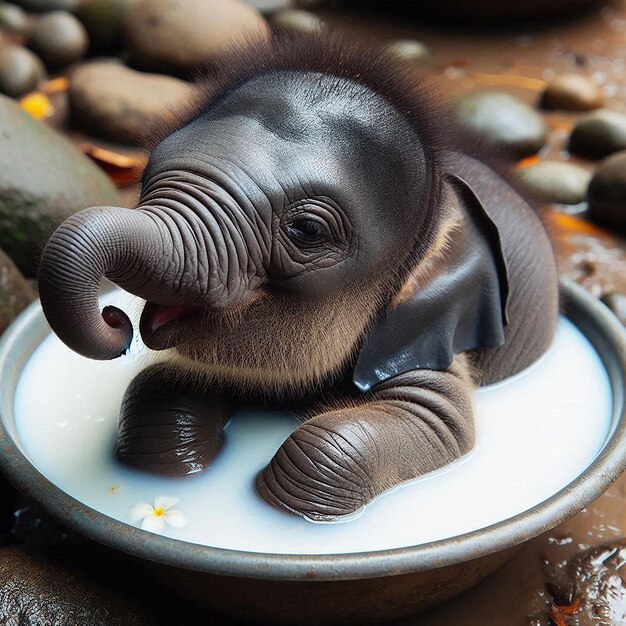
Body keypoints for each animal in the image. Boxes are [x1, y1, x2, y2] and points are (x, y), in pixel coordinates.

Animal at [39, 35, 556, 520]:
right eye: (146, 174)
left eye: (306, 229)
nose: (114, 318)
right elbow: (159, 391)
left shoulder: (431, 336)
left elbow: (437, 420)